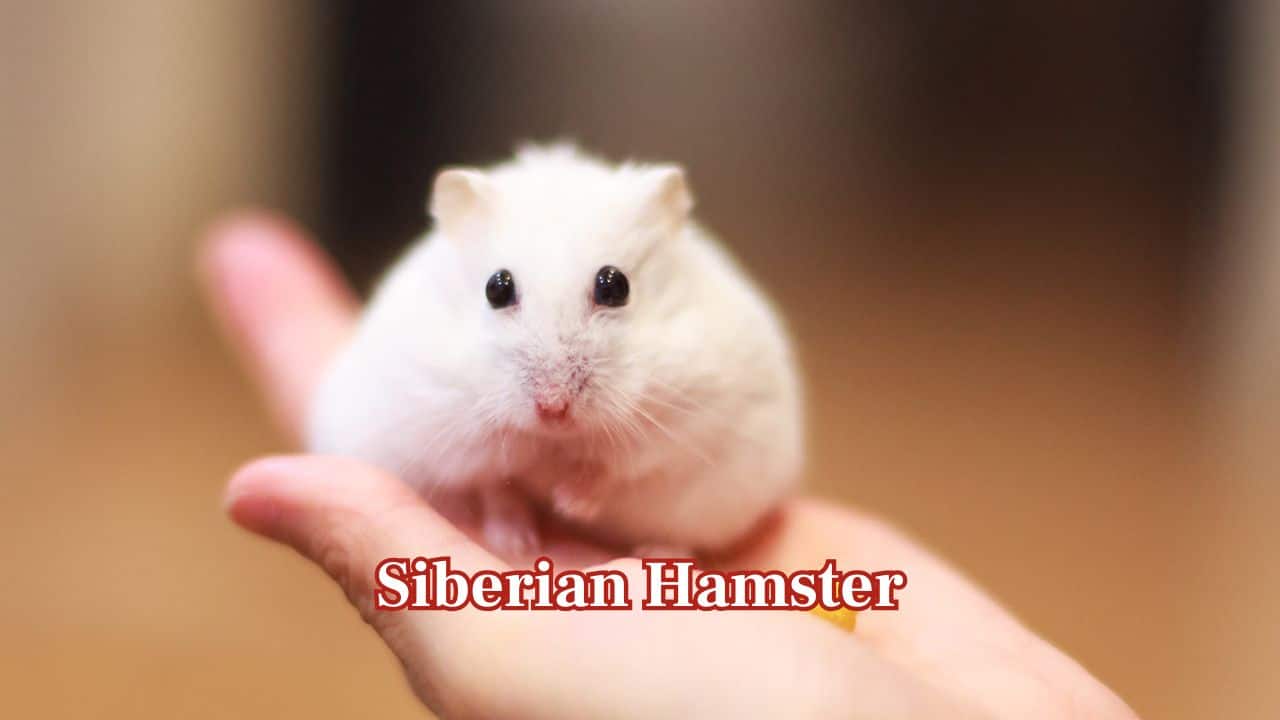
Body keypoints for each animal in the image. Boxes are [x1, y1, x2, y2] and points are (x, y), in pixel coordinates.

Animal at [308, 144, 803, 558]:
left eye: (615, 285)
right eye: (496, 287)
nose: (553, 409)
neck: (555, 443)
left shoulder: (688, 413)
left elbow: (619, 467)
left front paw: (569, 503)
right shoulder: (445, 421)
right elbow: (495, 483)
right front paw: (517, 543)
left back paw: (659, 554)